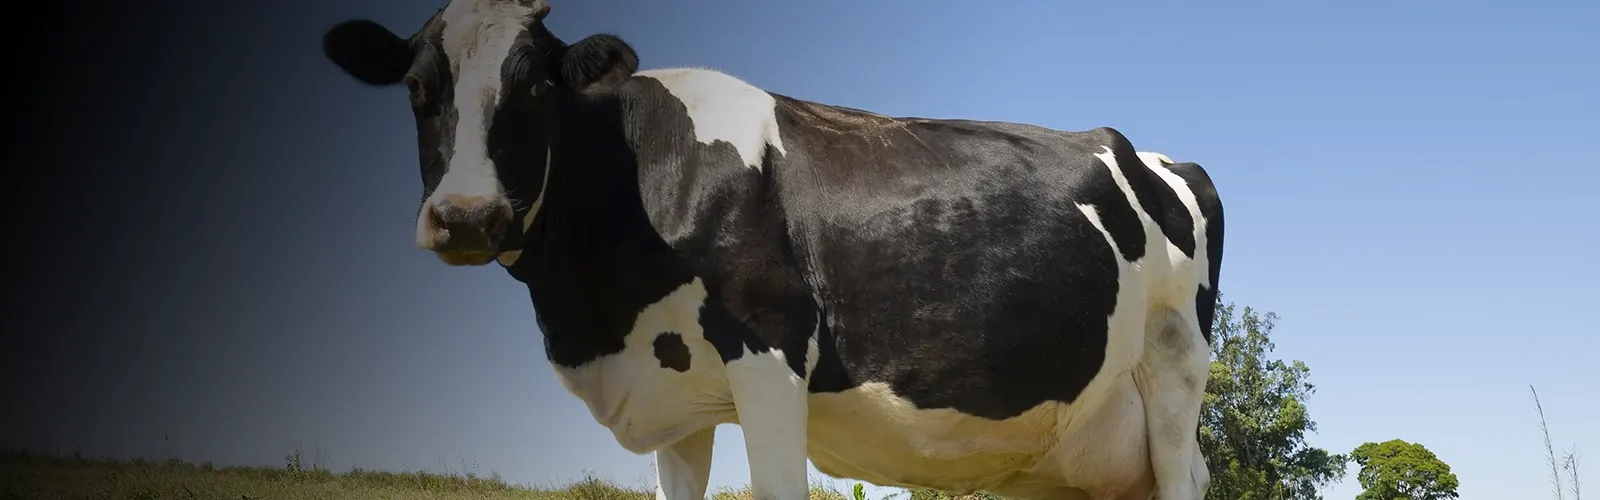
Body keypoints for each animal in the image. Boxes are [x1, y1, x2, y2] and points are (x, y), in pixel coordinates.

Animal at [320, 1, 1225, 498]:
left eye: (537, 85)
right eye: (417, 88)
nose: (467, 216)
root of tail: (1158, 157)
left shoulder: (770, 352)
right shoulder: (672, 395)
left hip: (1173, 371)